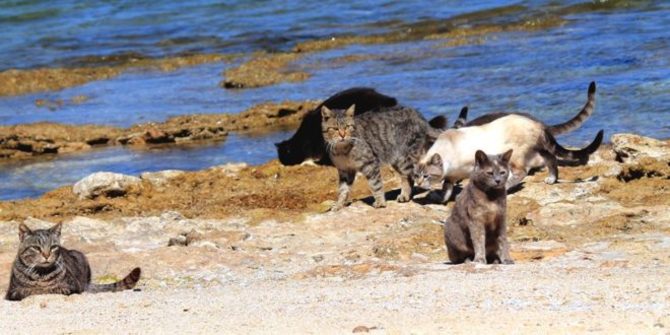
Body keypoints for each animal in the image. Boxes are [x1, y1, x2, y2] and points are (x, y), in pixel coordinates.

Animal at [5, 223, 142, 302]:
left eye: (53, 247)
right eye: (36, 248)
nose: (47, 255)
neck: (41, 274)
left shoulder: (72, 286)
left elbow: (56, 288)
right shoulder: (12, 292)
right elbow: (27, 290)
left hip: (80, 256)